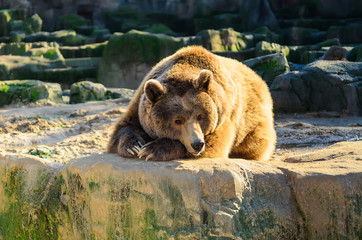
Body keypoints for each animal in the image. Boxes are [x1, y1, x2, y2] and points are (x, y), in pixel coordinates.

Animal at [107, 45, 274, 161]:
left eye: (200, 116)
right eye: (177, 120)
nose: (197, 144)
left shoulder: (225, 113)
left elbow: (214, 145)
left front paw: (152, 149)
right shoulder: (141, 101)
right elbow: (124, 127)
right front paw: (134, 147)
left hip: (253, 128)